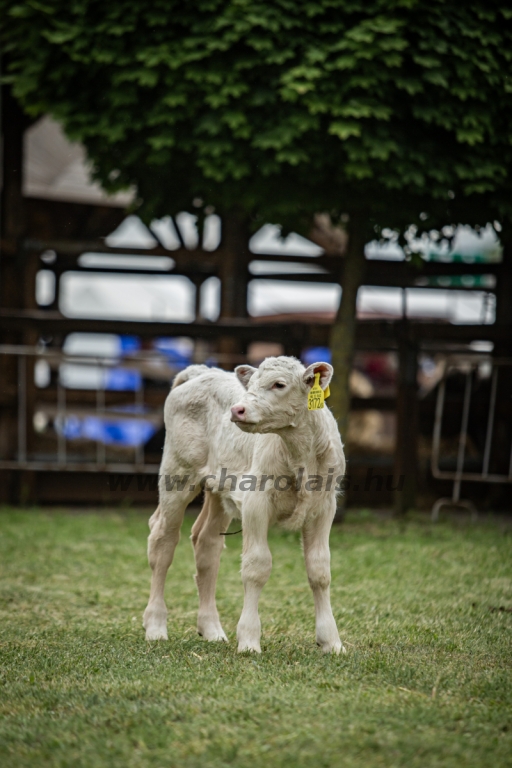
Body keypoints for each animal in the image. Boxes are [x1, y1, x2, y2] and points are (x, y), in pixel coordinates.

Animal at [142, 356, 346, 656]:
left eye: (279, 384)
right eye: (250, 385)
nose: (237, 410)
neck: (300, 456)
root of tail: (202, 372)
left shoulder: (324, 506)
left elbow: (320, 570)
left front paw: (331, 641)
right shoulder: (255, 502)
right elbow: (257, 566)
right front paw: (249, 640)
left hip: (219, 488)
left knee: (206, 544)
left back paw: (212, 630)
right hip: (176, 473)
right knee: (163, 541)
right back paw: (156, 626)